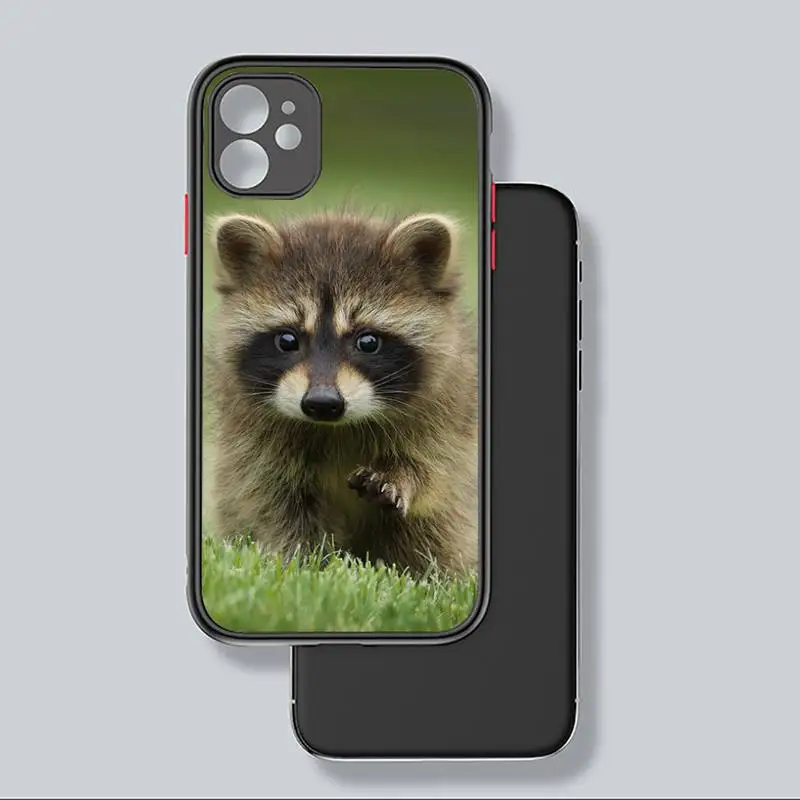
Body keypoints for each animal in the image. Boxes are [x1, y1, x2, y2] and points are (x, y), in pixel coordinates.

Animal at [205, 210, 479, 575]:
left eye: (368, 341)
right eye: (287, 340)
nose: (322, 403)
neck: (337, 428)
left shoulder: (447, 412)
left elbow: (436, 470)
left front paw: (402, 475)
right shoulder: (253, 442)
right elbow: (274, 501)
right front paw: (303, 563)